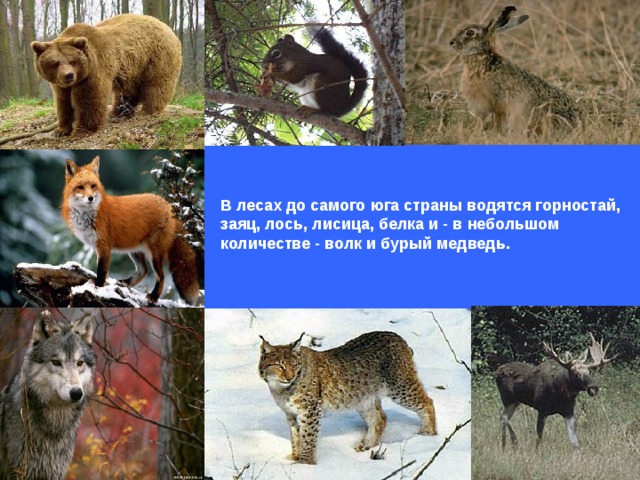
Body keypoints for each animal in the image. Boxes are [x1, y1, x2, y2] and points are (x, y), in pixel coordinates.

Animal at [31, 14, 182, 137]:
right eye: (55, 63)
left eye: (72, 61)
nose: (68, 75)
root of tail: (168, 28)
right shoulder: (60, 84)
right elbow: (63, 102)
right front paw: (61, 130)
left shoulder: (94, 70)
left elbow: (90, 100)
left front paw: (82, 131)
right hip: (132, 69)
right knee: (127, 92)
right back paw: (119, 113)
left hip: (156, 57)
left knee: (156, 85)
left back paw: (149, 111)